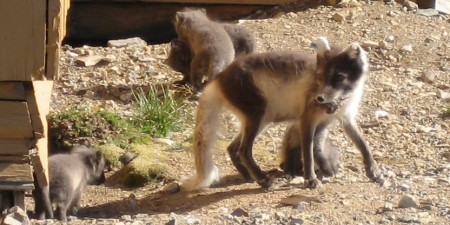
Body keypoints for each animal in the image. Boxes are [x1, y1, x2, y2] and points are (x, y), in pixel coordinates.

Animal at [183, 37, 384, 192]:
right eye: (320, 78)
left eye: (339, 78)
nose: (319, 98)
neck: (339, 102)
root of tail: (219, 77)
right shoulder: (307, 119)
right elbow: (308, 153)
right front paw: (310, 179)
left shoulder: (345, 119)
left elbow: (363, 146)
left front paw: (373, 171)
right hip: (257, 116)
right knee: (243, 150)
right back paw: (263, 180)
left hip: (262, 120)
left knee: (232, 148)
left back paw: (250, 176)